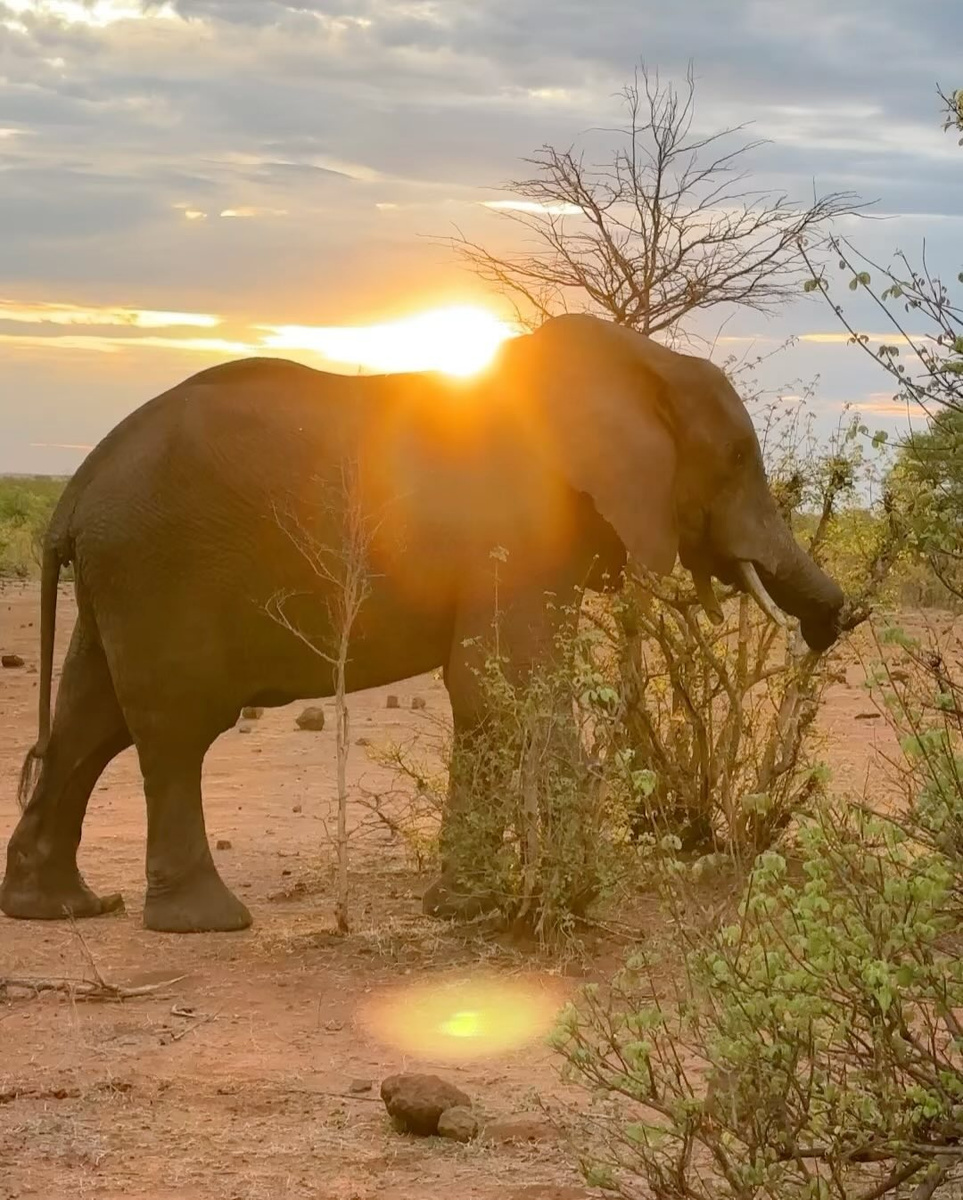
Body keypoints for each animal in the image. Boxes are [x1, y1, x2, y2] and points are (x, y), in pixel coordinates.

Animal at [0, 314, 845, 934]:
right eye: (734, 457)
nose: (838, 618)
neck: (637, 361)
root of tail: (75, 491)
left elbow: (487, 694)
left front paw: (464, 908)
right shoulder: (520, 528)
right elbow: (506, 684)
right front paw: (564, 906)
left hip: (121, 576)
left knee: (90, 723)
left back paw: (60, 909)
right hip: (158, 568)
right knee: (175, 727)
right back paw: (208, 923)